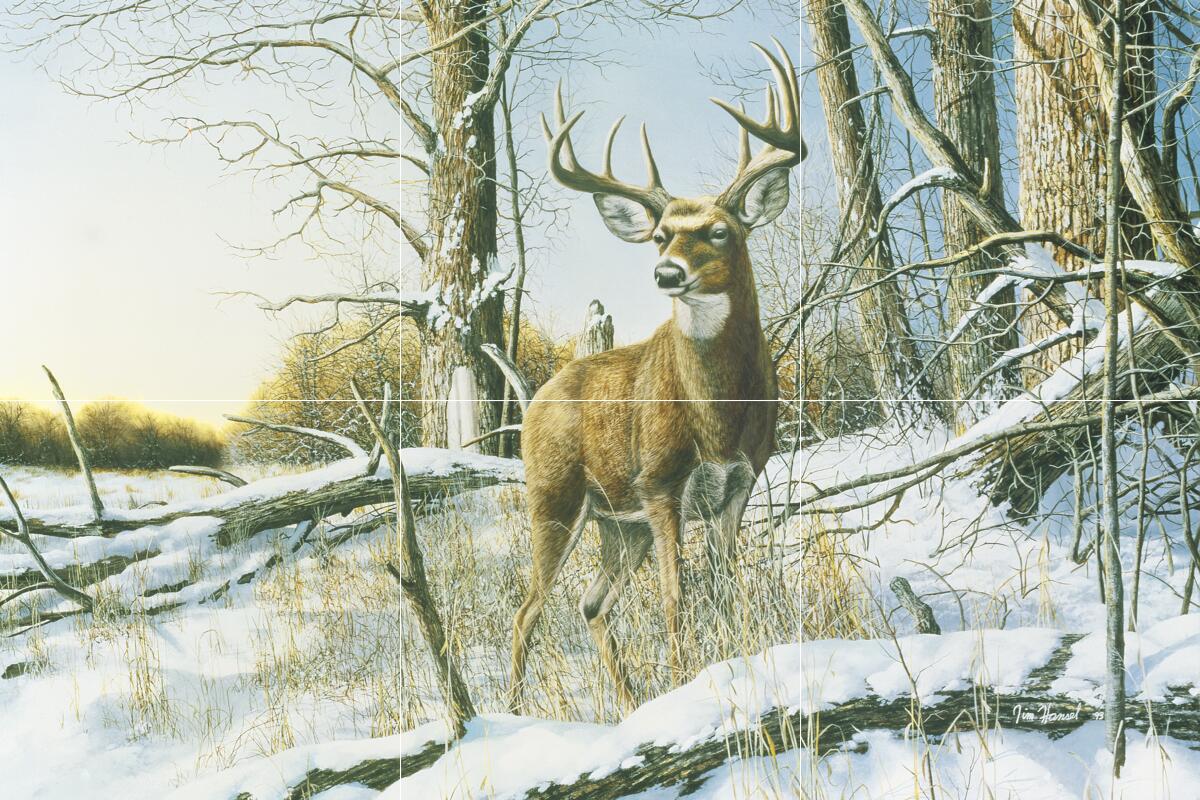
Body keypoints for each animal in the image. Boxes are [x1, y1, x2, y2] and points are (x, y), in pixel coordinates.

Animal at [509, 40, 801, 714]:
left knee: (591, 604)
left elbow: (725, 586)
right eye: (661, 236)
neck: (715, 417)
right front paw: (685, 684)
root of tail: (536, 397)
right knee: (528, 609)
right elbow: (675, 598)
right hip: (556, 497)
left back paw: (628, 703)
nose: (666, 272)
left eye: (720, 231)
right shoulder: (662, 484)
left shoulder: (737, 485)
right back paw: (503, 713)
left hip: (620, 524)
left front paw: (735, 669)